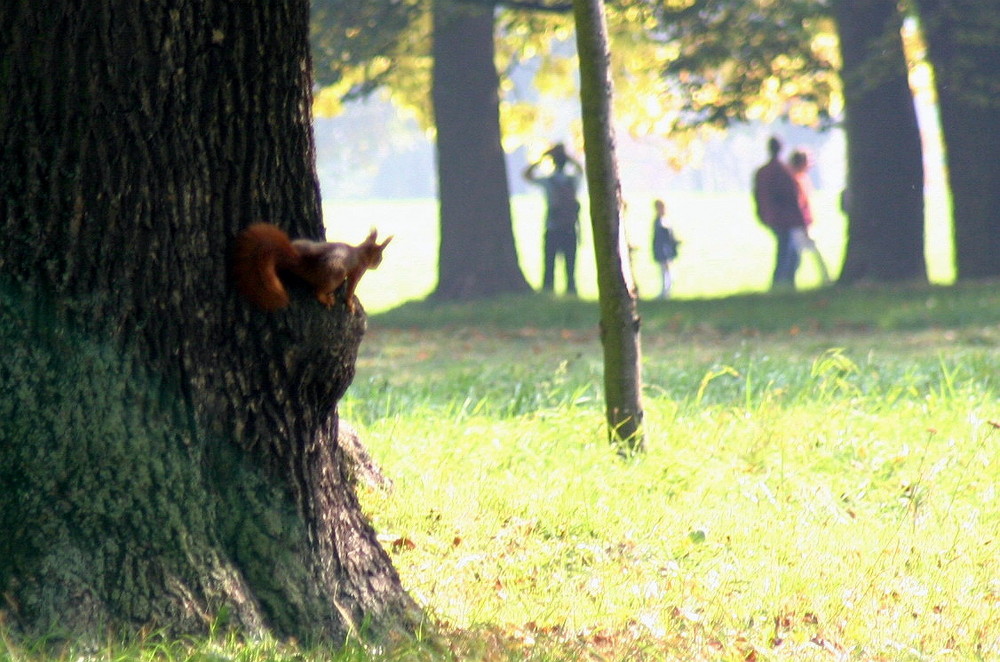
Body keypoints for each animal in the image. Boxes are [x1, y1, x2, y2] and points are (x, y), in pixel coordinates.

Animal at [232, 224, 392, 316]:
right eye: (380, 258)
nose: (378, 265)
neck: (360, 253)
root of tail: (301, 263)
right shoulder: (357, 271)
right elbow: (351, 288)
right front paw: (350, 304)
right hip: (336, 275)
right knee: (318, 291)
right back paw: (325, 298)